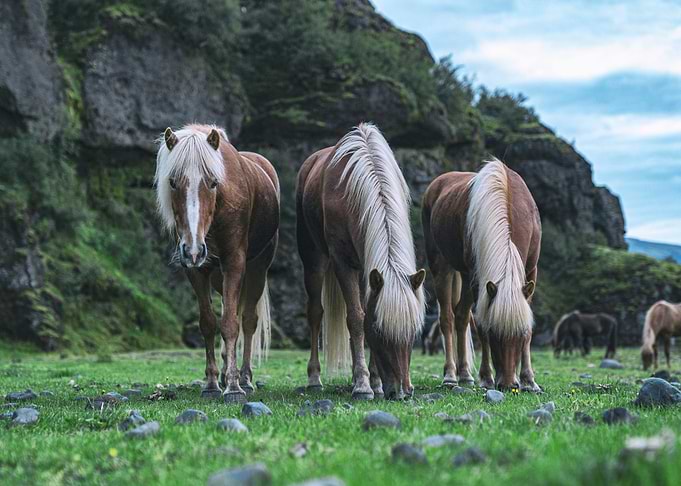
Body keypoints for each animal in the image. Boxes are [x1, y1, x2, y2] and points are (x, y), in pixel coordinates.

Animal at [155, 124, 279, 403]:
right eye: (172, 182)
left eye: (213, 182)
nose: (192, 249)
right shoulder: (197, 270)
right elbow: (209, 324)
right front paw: (212, 383)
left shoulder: (234, 262)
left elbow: (232, 324)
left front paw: (234, 387)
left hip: (257, 268)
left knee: (248, 320)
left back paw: (245, 378)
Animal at [296, 123, 426, 400]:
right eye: (378, 331)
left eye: (413, 332)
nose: (402, 391)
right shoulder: (343, 262)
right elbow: (357, 318)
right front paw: (363, 386)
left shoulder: (370, 269)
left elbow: (366, 310)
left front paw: (374, 382)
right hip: (313, 259)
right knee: (315, 312)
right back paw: (314, 379)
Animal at [422, 158, 541, 391]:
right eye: (495, 334)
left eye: (519, 334)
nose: (508, 384)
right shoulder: (478, 280)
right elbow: (481, 325)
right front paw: (487, 377)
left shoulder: (531, 270)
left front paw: (529, 380)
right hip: (442, 266)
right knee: (448, 318)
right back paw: (451, 375)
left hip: (463, 275)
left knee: (461, 317)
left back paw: (465, 374)